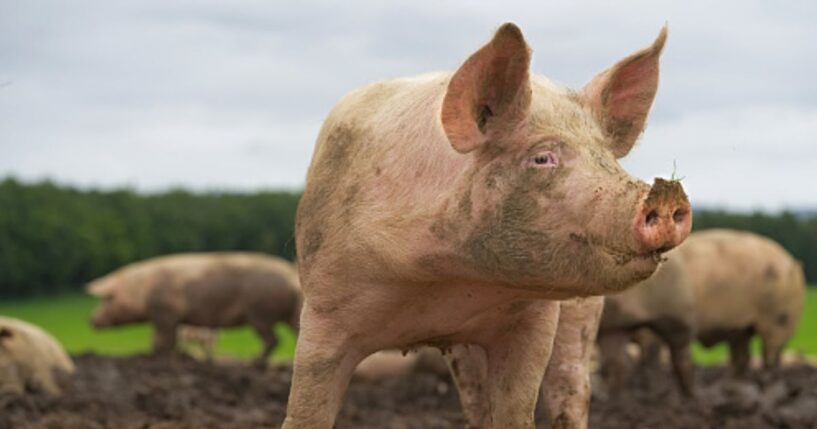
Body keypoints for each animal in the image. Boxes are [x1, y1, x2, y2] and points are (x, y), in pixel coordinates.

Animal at [87, 252, 301, 366]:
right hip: (289, 313)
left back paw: (254, 363)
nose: (91, 320)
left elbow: (162, 340)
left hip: (260, 313)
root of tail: (291, 276)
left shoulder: (165, 314)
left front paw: (156, 356)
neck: (142, 290)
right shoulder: (169, 319)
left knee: (273, 340)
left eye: (107, 300)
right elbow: (165, 341)